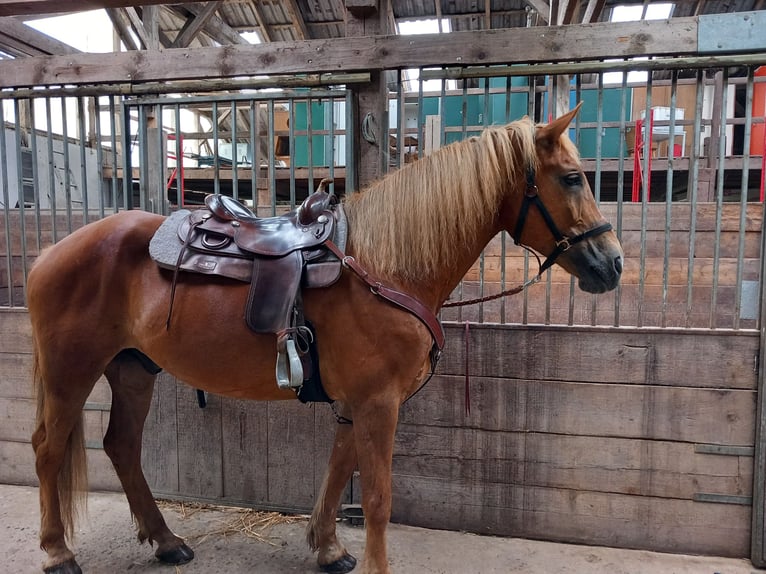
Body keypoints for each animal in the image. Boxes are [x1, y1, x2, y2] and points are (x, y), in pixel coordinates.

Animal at [28, 106, 624, 572]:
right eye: (573, 178)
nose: (613, 264)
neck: (386, 268)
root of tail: (54, 251)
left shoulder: (357, 402)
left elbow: (339, 472)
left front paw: (327, 547)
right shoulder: (379, 402)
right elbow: (378, 497)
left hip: (132, 368)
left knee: (122, 446)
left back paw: (167, 541)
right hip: (70, 371)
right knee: (48, 449)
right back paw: (58, 553)